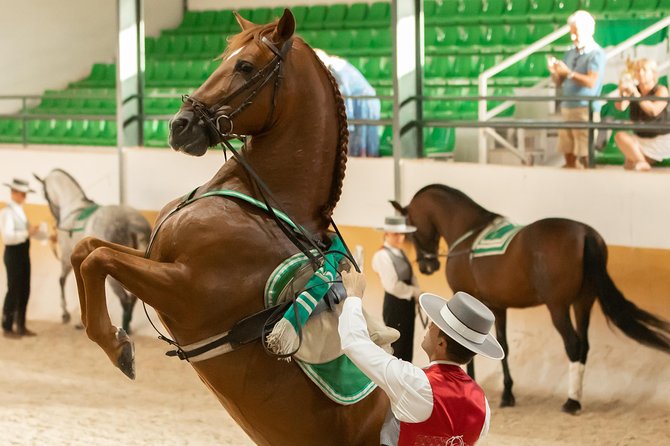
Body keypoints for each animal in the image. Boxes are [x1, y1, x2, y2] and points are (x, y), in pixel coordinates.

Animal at [32, 169, 151, 333]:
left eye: (44, 193)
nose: (56, 220)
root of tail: (132, 224)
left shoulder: (67, 258)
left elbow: (62, 281)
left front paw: (66, 314)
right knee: (133, 298)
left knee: (125, 300)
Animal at [69, 10, 388, 445]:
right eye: (224, 58)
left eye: (246, 66)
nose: (180, 125)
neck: (262, 202)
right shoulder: (155, 255)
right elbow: (85, 248)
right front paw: (109, 336)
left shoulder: (185, 287)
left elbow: (98, 258)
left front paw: (117, 345)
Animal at [392, 184, 670, 414]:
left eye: (412, 230)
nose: (427, 266)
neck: (467, 232)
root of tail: (585, 233)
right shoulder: (497, 306)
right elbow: (503, 344)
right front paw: (507, 394)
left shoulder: (469, 298)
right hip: (583, 303)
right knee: (584, 345)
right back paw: (576, 395)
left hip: (558, 307)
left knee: (573, 344)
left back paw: (571, 401)